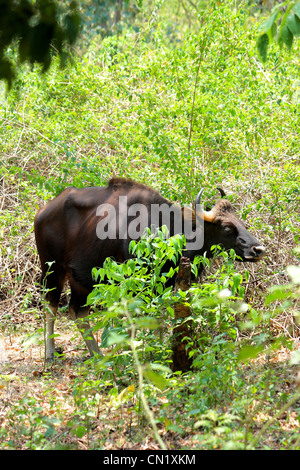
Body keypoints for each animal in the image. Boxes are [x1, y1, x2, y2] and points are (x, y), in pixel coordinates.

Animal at [34, 176, 266, 360]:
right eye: (227, 228)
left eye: (241, 222)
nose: (259, 249)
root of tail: (42, 212)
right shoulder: (136, 282)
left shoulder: (161, 284)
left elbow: (158, 317)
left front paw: (158, 348)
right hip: (52, 270)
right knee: (51, 306)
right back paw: (50, 354)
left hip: (80, 279)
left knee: (78, 311)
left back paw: (96, 354)